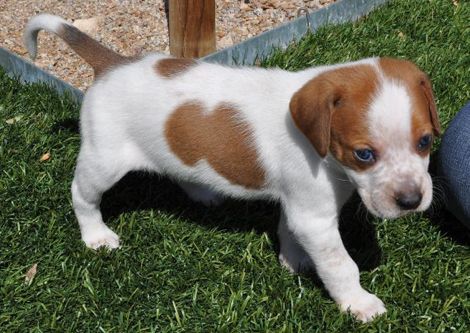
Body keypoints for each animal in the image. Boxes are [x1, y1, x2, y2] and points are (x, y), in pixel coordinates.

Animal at [23, 13, 438, 322]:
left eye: (425, 142)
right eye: (364, 154)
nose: (411, 201)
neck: (328, 158)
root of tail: (112, 65)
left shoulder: (297, 205)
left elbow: (288, 231)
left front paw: (294, 260)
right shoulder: (314, 217)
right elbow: (340, 265)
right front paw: (359, 303)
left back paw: (203, 191)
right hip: (103, 160)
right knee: (82, 194)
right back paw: (96, 236)